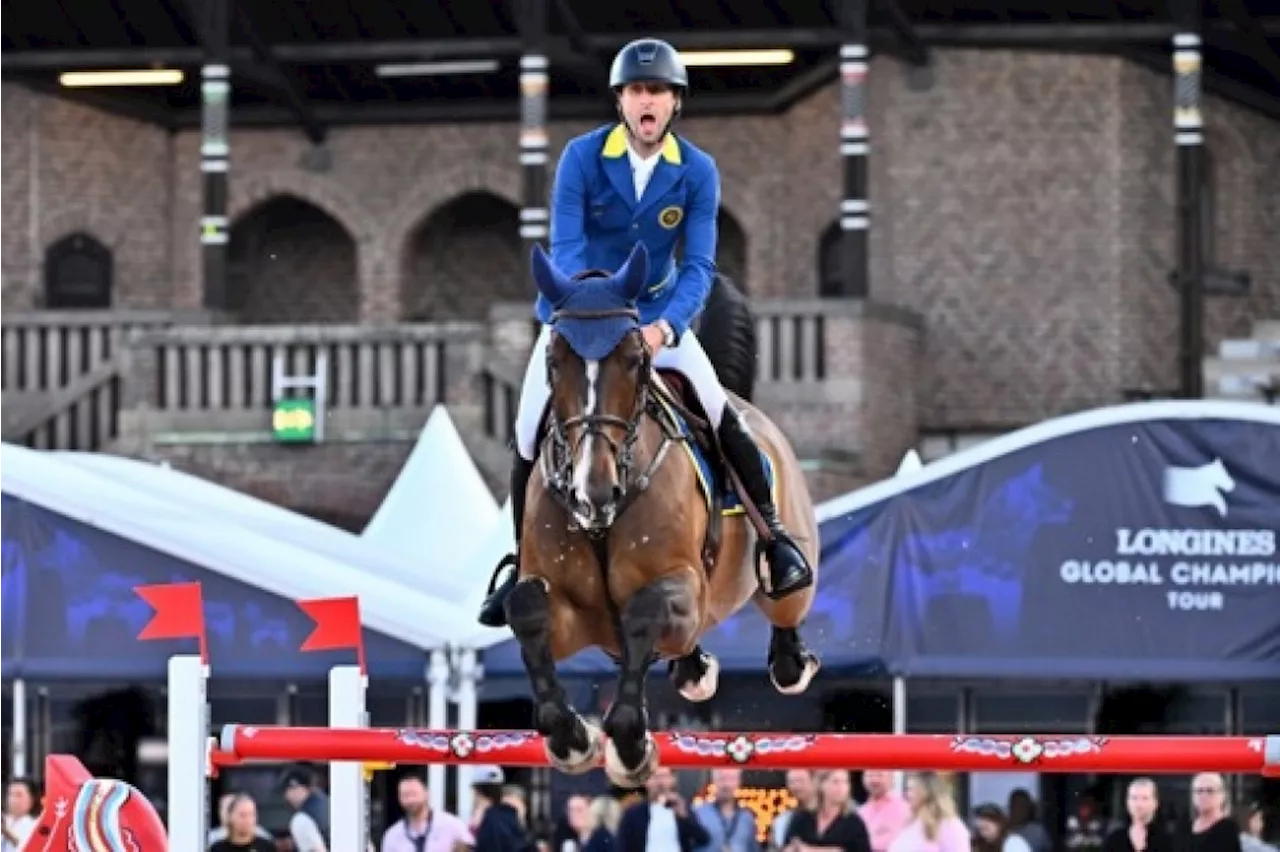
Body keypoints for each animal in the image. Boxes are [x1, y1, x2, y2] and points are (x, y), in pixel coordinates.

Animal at [499, 239, 819, 782]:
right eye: (554, 361)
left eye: (633, 359)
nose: (593, 492)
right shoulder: (572, 615)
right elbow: (526, 609)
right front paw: (572, 739)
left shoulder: (682, 588)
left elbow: (645, 611)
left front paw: (629, 746)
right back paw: (695, 670)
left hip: (785, 571)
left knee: (785, 615)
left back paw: (789, 654)